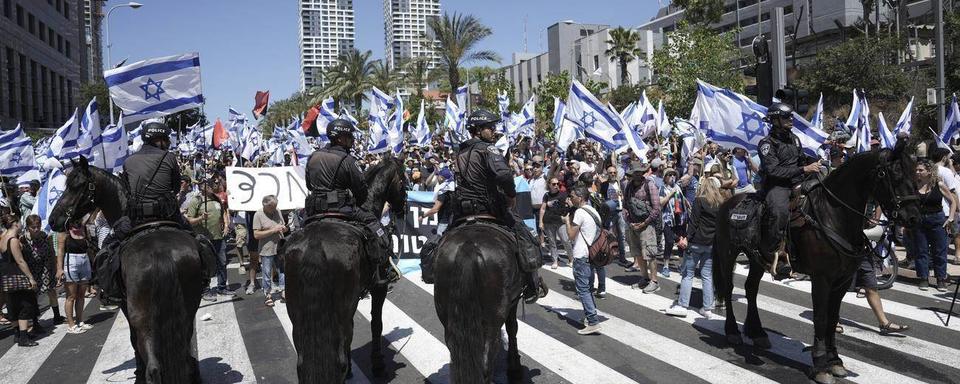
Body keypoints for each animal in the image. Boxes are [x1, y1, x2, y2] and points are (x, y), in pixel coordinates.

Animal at [48, 157, 201, 384]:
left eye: (77, 186)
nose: (52, 220)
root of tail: (161, 253)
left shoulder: (124, 306)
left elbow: (133, 341)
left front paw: (137, 371)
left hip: (142, 317)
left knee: (153, 366)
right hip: (188, 309)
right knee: (185, 353)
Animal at [284, 155, 406, 380]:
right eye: (403, 180)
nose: (402, 208)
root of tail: (315, 245)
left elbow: (352, 333)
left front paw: (352, 367)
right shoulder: (379, 287)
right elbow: (376, 324)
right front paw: (377, 364)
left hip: (297, 316)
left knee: (304, 361)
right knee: (338, 355)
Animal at [436, 219, 524, 384]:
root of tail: (468, 245)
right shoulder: (513, 300)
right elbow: (512, 328)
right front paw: (514, 366)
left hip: (446, 316)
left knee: (455, 354)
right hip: (494, 318)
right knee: (487, 359)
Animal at [712, 142, 924, 384]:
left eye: (914, 174)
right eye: (894, 174)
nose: (914, 218)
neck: (833, 215)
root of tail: (727, 202)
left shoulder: (842, 281)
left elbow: (833, 318)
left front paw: (836, 361)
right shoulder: (822, 278)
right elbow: (821, 318)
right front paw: (821, 365)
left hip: (757, 259)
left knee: (751, 289)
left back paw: (758, 333)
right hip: (728, 253)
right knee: (729, 289)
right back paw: (732, 331)